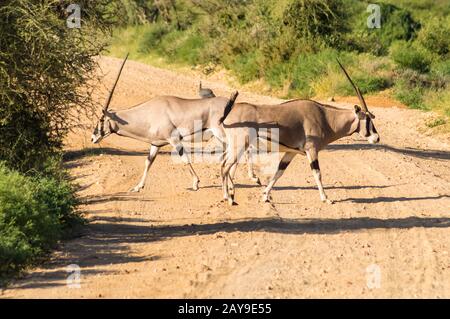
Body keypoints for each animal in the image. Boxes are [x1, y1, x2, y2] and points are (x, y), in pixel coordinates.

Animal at [90, 55, 239, 192]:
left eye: (101, 120)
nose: (93, 138)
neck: (149, 112)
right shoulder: (155, 144)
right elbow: (148, 162)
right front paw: (138, 187)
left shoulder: (173, 139)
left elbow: (185, 159)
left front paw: (196, 184)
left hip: (223, 135)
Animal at [221, 59, 380, 205]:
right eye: (367, 119)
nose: (377, 138)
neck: (325, 118)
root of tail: (230, 114)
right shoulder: (312, 150)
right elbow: (317, 173)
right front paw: (326, 198)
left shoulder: (291, 152)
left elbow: (279, 172)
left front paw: (265, 195)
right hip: (239, 146)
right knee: (225, 167)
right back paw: (228, 198)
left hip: (235, 147)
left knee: (224, 164)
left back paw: (228, 195)